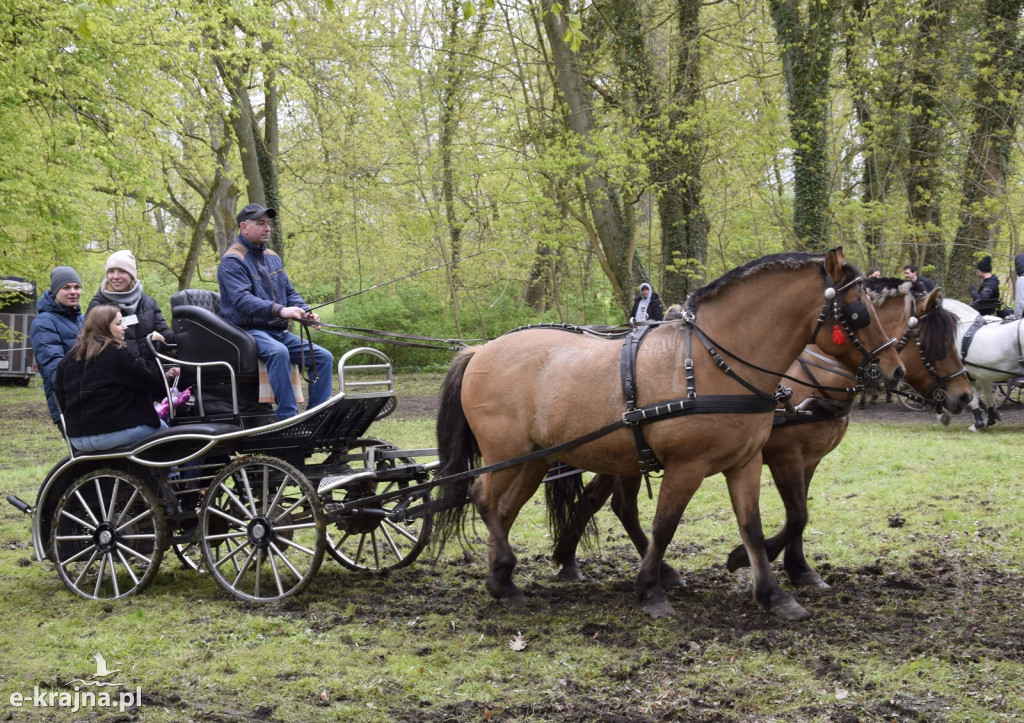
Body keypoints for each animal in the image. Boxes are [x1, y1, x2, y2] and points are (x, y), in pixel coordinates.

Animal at [432, 248, 905, 618]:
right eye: (861, 311)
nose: (895, 368)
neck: (713, 364)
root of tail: (479, 351)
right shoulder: (688, 465)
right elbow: (665, 525)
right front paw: (650, 590)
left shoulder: (747, 462)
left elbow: (753, 525)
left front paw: (772, 593)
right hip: (505, 453)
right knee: (483, 498)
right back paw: (505, 577)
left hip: (537, 458)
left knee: (504, 507)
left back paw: (502, 578)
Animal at [548, 272, 970, 589]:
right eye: (934, 341)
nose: (964, 395)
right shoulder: (785, 455)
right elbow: (797, 514)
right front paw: (748, 557)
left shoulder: (808, 460)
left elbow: (800, 513)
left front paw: (799, 568)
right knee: (620, 505)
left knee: (596, 500)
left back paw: (568, 558)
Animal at [942, 296, 1024, 428]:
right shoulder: (984, 373)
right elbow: (988, 397)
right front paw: (990, 418)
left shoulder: (966, 375)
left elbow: (973, 399)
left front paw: (978, 423)